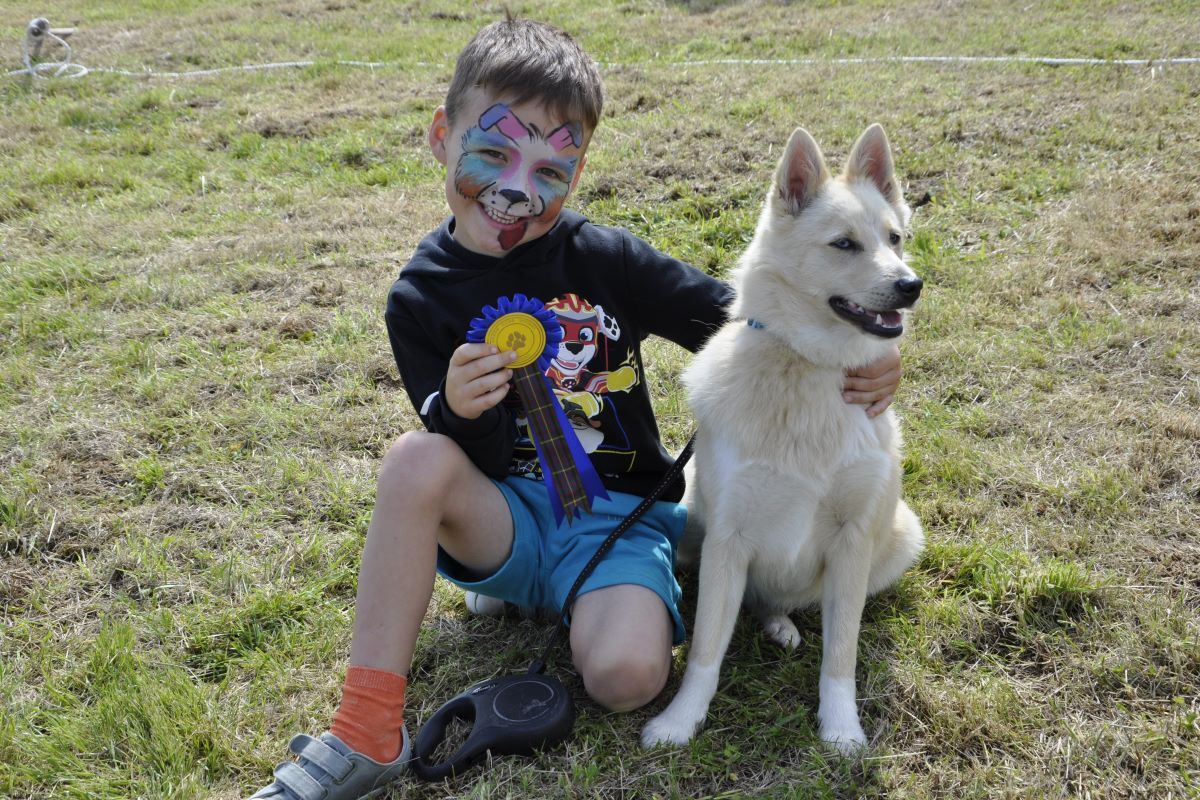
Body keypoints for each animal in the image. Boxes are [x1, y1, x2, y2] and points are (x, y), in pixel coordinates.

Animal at [643, 122, 921, 753]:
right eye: (844, 244)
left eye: (895, 238)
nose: (911, 285)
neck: (809, 367)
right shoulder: (727, 539)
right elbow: (705, 650)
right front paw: (680, 721)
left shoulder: (852, 541)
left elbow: (840, 654)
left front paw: (841, 729)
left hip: (899, 535)